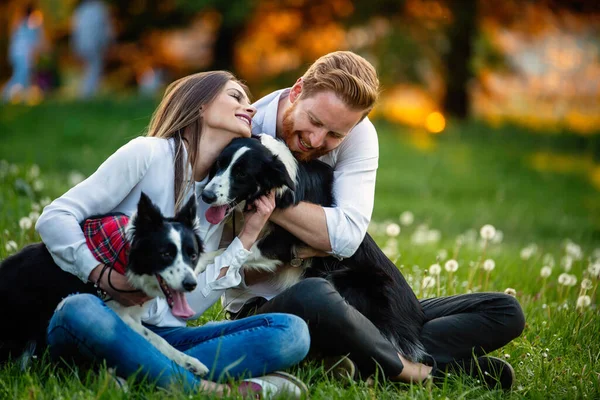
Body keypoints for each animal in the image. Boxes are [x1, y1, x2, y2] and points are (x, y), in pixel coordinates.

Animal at [0, 194, 209, 376]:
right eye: (165, 254)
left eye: (192, 255)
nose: (191, 284)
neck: (123, 257)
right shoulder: (118, 312)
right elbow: (154, 337)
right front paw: (189, 361)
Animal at [199, 135, 424, 362]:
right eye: (219, 164)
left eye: (242, 174)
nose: (206, 195)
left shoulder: (282, 244)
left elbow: (228, 251)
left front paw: (198, 262)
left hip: (346, 279)